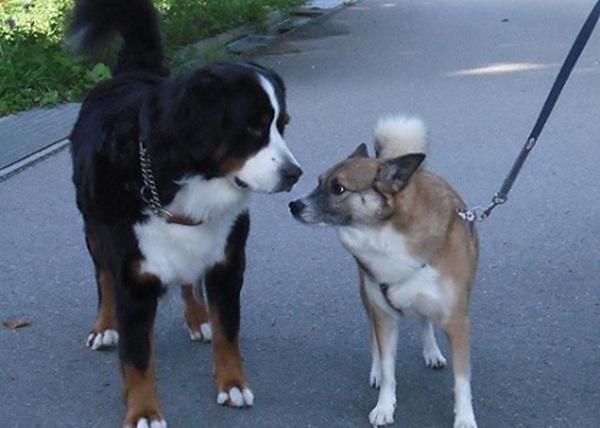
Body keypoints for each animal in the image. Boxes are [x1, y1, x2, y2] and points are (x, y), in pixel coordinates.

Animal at [68, 0, 302, 426]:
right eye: (252, 128)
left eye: (282, 124)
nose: (294, 174)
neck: (185, 185)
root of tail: (131, 73)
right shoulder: (134, 279)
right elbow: (138, 358)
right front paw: (143, 409)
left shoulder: (228, 263)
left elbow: (228, 331)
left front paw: (232, 383)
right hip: (93, 229)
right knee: (102, 276)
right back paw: (105, 326)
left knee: (189, 280)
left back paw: (198, 317)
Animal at [289, 116, 479, 428]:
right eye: (319, 181)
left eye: (338, 188)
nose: (293, 205)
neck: (385, 233)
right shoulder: (385, 316)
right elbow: (389, 368)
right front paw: (384, 407)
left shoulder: (458, 321)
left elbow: (461, 381)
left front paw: (464, 418)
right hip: (369, 301)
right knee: (374, 339)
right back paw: (377, 370)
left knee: (424, 320)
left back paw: (431, 351)